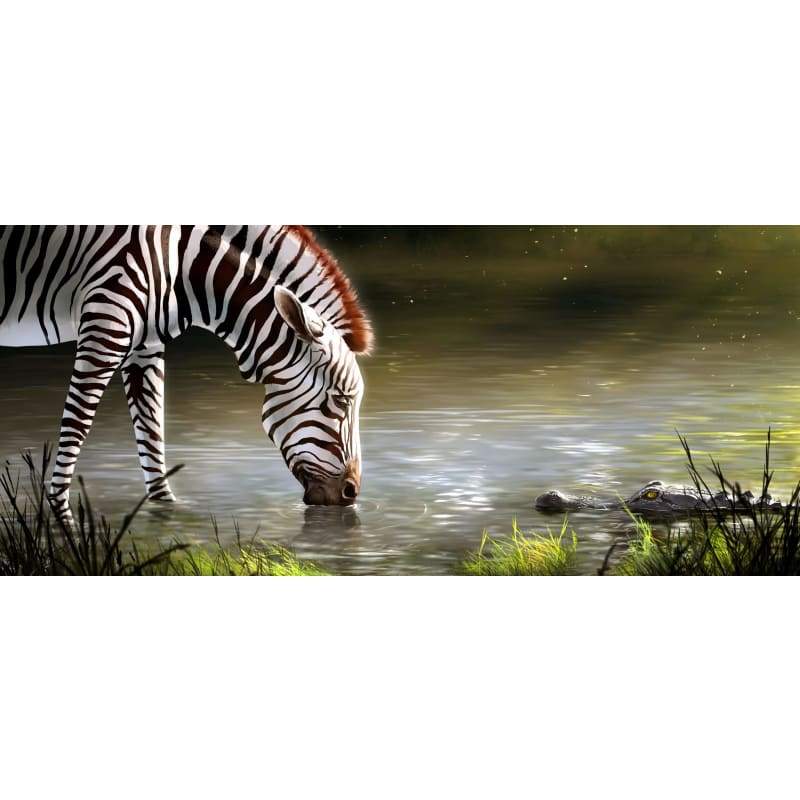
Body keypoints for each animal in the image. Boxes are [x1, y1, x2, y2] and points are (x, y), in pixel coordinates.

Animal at [0, 225, 373, 519]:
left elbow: (152, 432)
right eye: (341, 401)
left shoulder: (146, 343)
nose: (351, 495)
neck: (182, 264)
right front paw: (62, 521)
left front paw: (167, 515)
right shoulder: (106, 323)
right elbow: (77, 424)